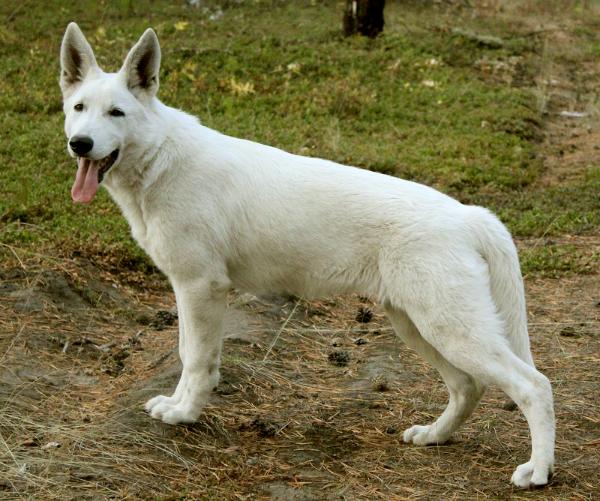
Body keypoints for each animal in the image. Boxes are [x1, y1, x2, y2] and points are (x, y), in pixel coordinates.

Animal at [59, 23, 552, 488]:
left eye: (117, 113)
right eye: (79, 108)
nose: (80, 144)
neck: (160, 157)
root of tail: (469, 215)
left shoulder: (201, 288)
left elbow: (195, 360)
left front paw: (184, 414)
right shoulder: (190, 290)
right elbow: (188, 354)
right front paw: (181, 406)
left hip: (450, 330)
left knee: (535, 386)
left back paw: (538, 470)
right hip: (417, 326)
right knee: (468, 387)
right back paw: (434, 435)